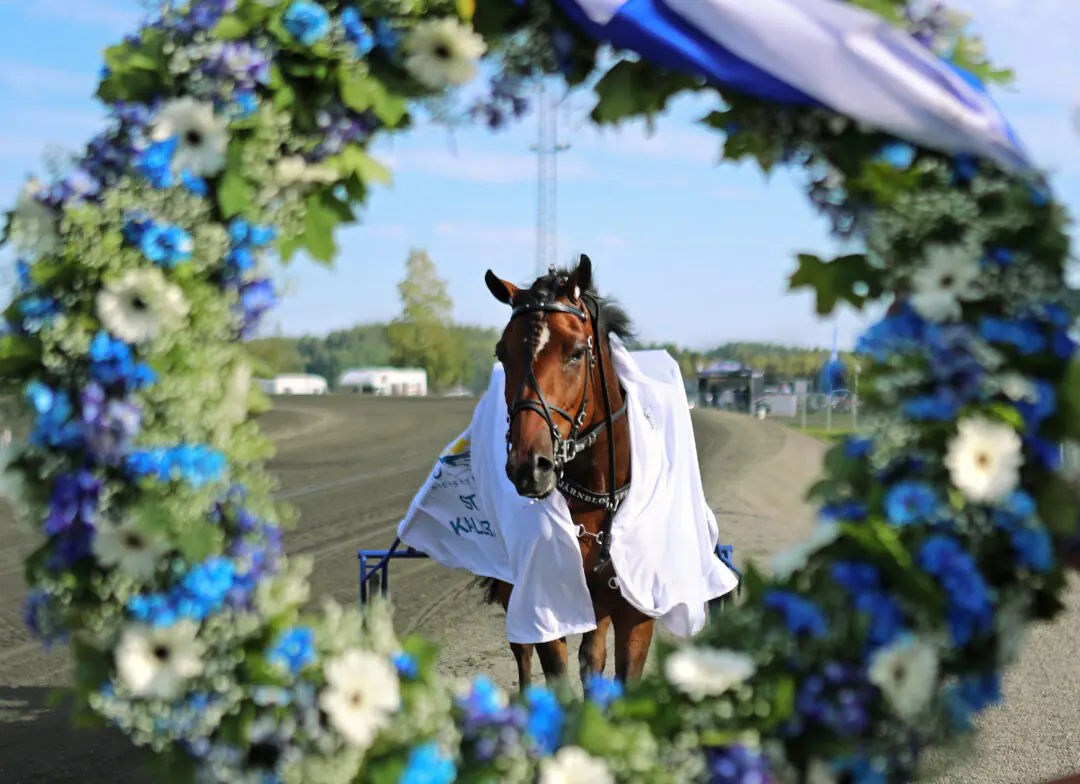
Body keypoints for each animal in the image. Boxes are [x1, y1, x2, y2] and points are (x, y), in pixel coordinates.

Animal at [483, 254, 656, 691]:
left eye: (577, 352)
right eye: (502, 353)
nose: (529, 465)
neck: (600, 497)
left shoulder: (634, 614)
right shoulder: (545, 603)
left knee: (592, 656)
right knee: (523, 653)